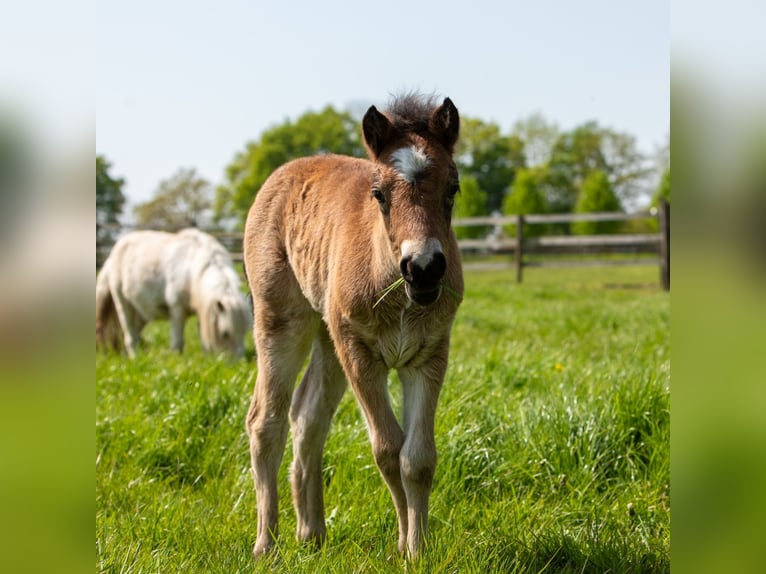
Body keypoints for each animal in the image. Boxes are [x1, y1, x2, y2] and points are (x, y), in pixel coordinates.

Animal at [96, 228, 251, 358]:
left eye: (244, 332)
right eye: (225, 334)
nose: (238, 363)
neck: (191, 269)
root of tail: (111, 257)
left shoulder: (202, 308)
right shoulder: (177, 309)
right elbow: (178, 341)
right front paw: (177, 360)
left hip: (141, 311)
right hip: (123, 303)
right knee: (129, 335)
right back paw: (134, 357)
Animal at [243, 93, 463, 559]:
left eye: (453, 188)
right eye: (378, 194)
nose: (423, 268)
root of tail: (285, 172)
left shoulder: (430, 354)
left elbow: (418, 458)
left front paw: (417, 548)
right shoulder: (361, 355)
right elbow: (387, 449)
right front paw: (406, 546)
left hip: (329, 337)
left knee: (308, 416)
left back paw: (311, 532)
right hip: (283, 321)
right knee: (265, 420)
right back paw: (266, 543)